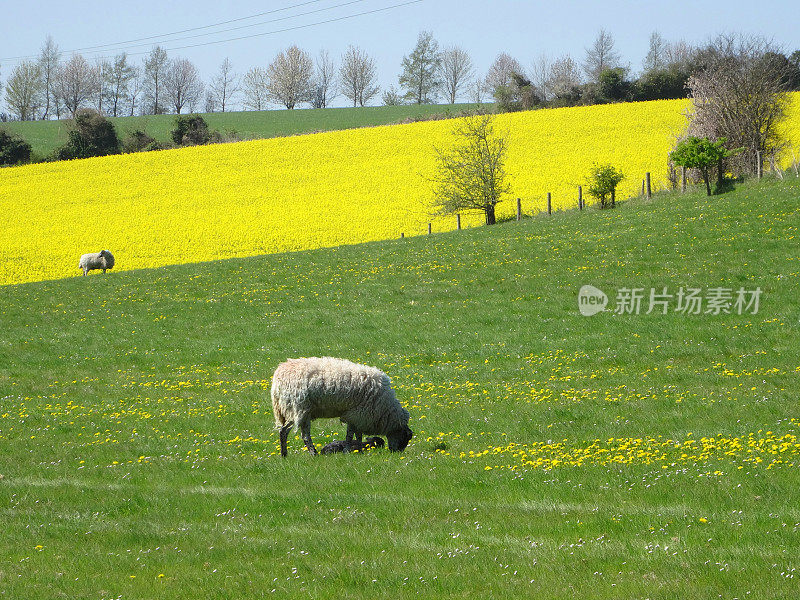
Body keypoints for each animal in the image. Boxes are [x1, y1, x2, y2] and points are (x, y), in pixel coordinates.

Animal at [274, 356, 416, 460]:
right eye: (405, 438)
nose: (396, 453)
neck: (386, 410)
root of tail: (277, 378)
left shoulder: (358, 416)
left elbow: (356, 435)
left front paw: (358, 450)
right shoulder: (358, 414)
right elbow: (351, 435)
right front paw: (349, 450)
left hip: (303, 412)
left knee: (299, 434)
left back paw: (292, 454)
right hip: (297, 409)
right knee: (289, 432)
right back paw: (303, 454)